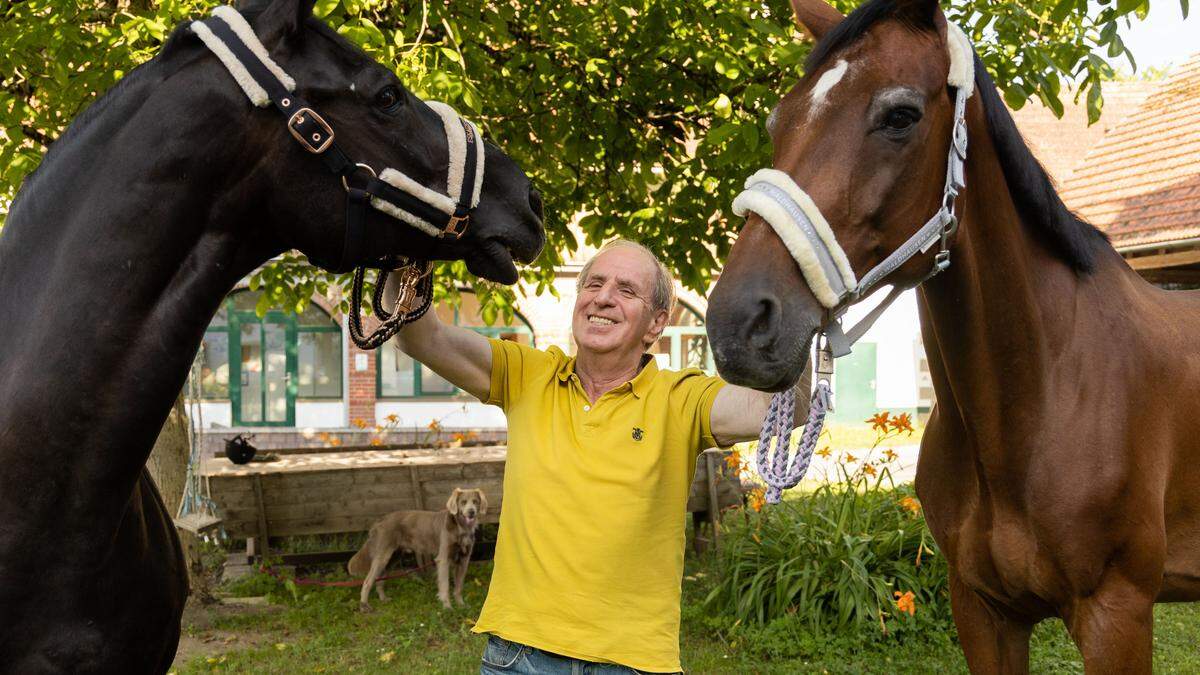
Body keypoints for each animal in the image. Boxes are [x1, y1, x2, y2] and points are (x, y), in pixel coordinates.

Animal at [345, 485, 484, 607]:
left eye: (475, 502)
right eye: (463, 502)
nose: (471, 512)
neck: (461, 528)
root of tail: (380, 520)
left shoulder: (464, 560)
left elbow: (459, 587)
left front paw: (461, 605)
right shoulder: (443, 559)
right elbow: (445, 586)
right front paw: (447, 607)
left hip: (392, 558)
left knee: (379, 579)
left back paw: (383, 599)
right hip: (383, 557)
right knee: (368, 581)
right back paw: (364, 605)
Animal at [700, 0, 1200, 667]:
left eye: (900, 115)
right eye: (779, 122)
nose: (737, 323)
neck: (1046, 395)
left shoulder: (1116, 616)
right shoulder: (982, 611)